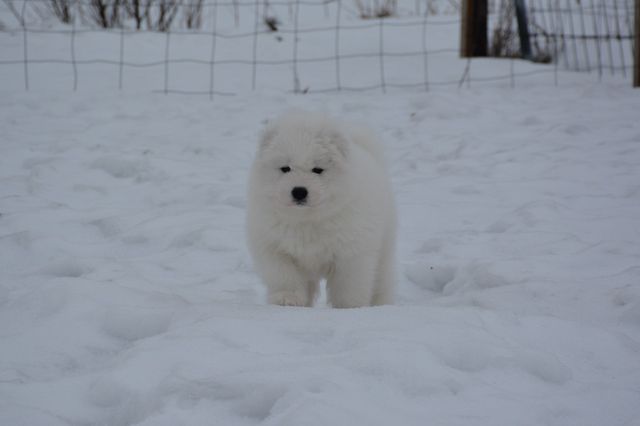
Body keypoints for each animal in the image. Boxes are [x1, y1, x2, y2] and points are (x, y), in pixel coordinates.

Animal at [246, 111, 392, 308]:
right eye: (285, 168)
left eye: (317, 169)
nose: (299, 191)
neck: (307, 220)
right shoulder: (275, 248)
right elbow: (284, 276)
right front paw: (287, 299)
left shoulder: (352, 252)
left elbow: (349, 284)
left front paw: (348, 307)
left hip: (384, 248)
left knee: (381, 280)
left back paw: (381, 304)